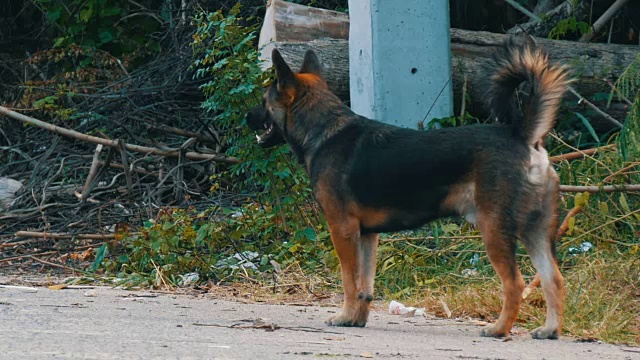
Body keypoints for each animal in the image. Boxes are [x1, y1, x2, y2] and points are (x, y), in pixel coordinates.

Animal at [245, 40, 568, 340]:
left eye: (263, 100)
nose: (246, 117)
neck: (324, 131)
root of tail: (522, 137)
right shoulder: (367, 235)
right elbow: (365, 286)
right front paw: (357, 319)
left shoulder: (342, 230)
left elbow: (350, 282)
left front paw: (343, 316)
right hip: (536, 231)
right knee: (553, 279)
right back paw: (550, 329)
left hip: (495, 230)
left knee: (515, 283)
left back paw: (499, 328)